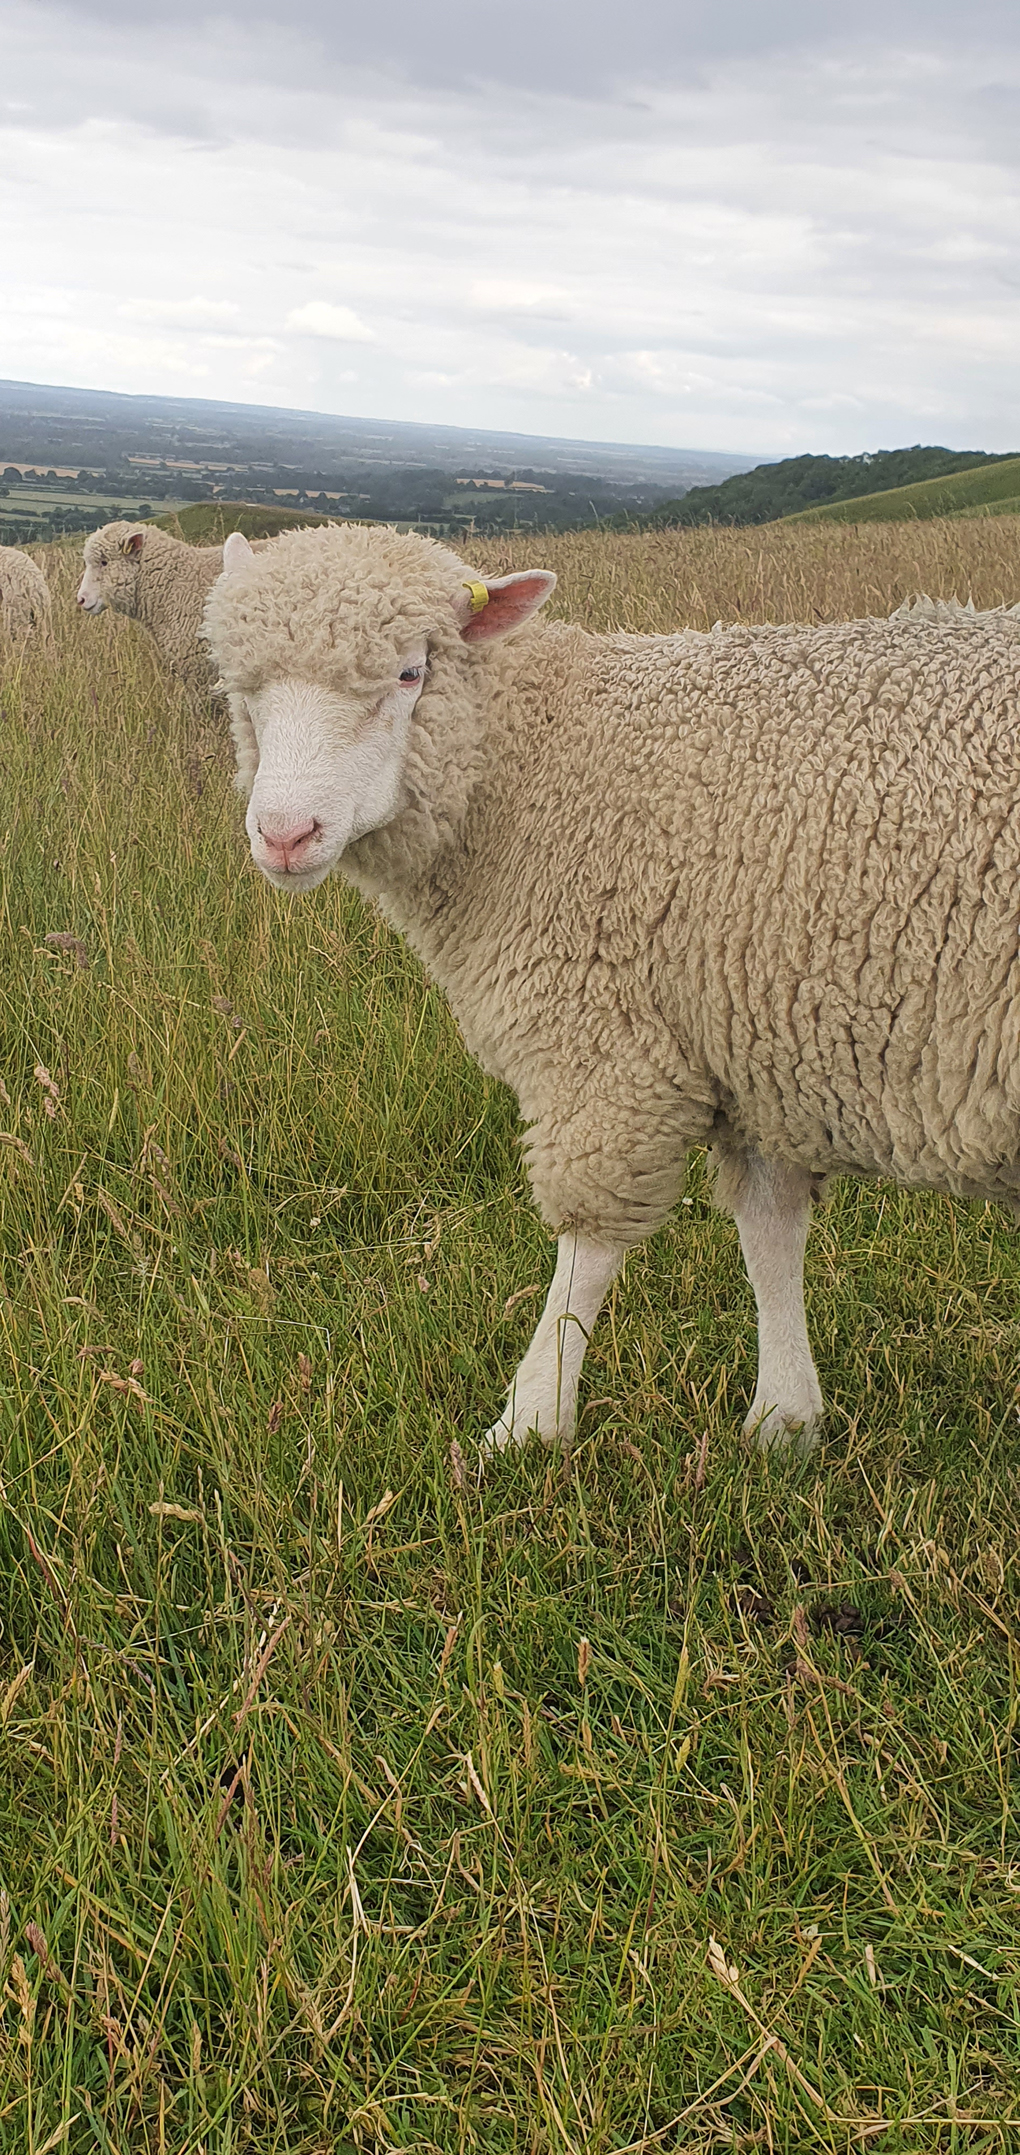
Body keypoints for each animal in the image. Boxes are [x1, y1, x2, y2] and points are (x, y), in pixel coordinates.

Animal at [202, 519, 1017, 1456]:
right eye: (242, 689)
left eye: (410, 673)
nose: (284, 834)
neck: (542, 760)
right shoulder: (747, 1037)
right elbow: (770, 1231)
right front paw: (784, 1418)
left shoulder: (607, 1042)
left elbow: (586, 1252)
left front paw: (529, 1421)